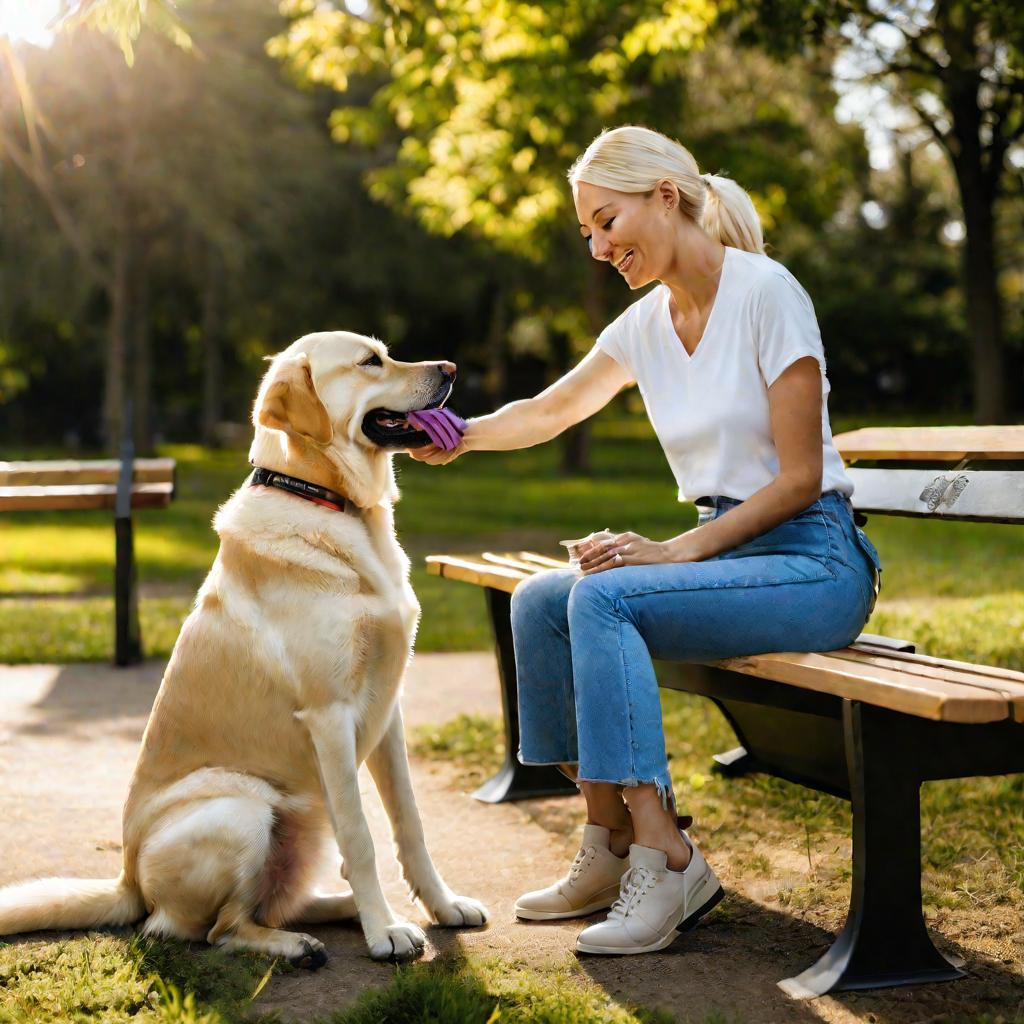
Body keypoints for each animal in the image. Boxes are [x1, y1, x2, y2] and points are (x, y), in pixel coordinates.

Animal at [0, 331, 489, 962]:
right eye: (369, 362)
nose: (451, 367)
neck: (324, 500)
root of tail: (128, 881)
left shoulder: (388, 712)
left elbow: (409, 824)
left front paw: (440, 906)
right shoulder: (330, 715)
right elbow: (362, 838)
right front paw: (383, 933)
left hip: (305, 825)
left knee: (274, 902)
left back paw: (340, 914)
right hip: (243, 807)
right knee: (212, 929)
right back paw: (301, 943)